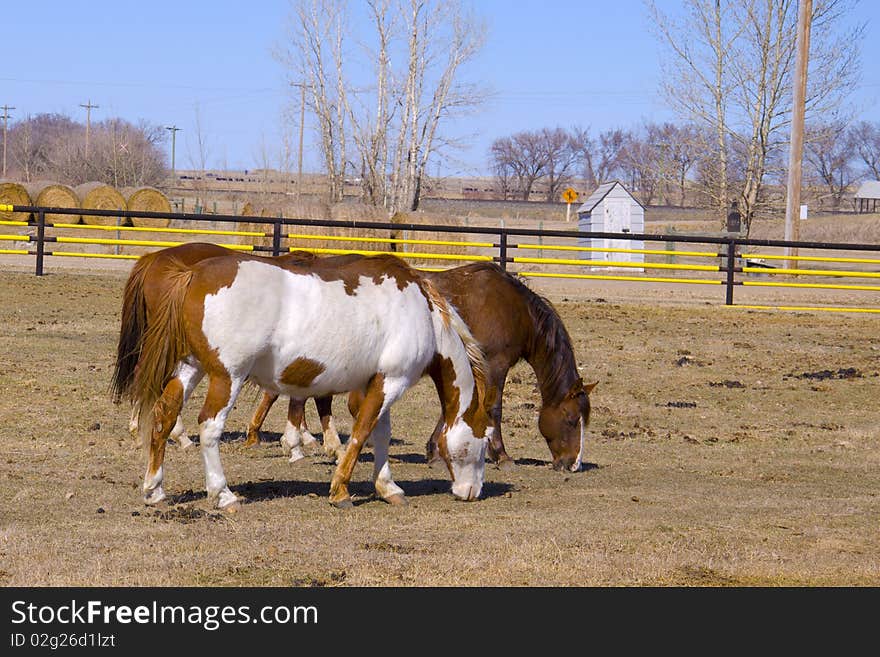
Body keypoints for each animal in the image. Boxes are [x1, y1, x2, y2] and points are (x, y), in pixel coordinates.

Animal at [112, 246, 492, 508]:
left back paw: (154, 489)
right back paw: (223, 495)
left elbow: (379, 434)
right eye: (485, 441)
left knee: (164, 416)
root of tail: (191, 273)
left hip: (191, 367)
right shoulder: (391, 381)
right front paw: (340, 490)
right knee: (208, 427)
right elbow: (361, 433)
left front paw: (388, 487)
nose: (473, 492)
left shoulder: (375, 382)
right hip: (226, 376)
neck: (421, 311)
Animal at [251, 262, 600, 472]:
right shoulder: (495, 366)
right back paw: (302, 445)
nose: (573, 464)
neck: (514, 310)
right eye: (571, 419)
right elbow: (493, 407)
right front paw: (501, 455)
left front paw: (434, 449)